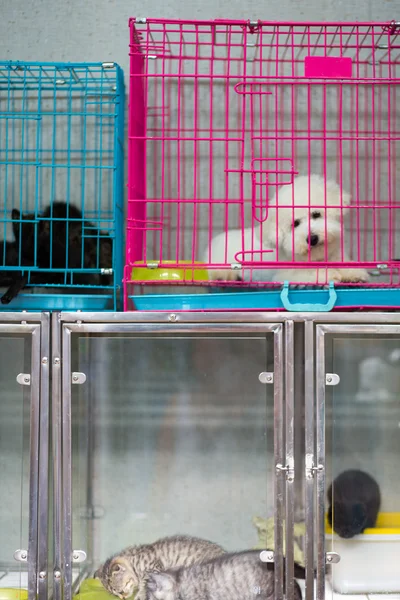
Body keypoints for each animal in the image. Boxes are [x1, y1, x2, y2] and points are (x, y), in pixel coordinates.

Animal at [206, 173, 368, 286]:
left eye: (316, 214)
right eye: (295, 224)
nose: (312, 238)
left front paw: (354, 273)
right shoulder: (286, 275)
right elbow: (309, 274)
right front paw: (328, 275)